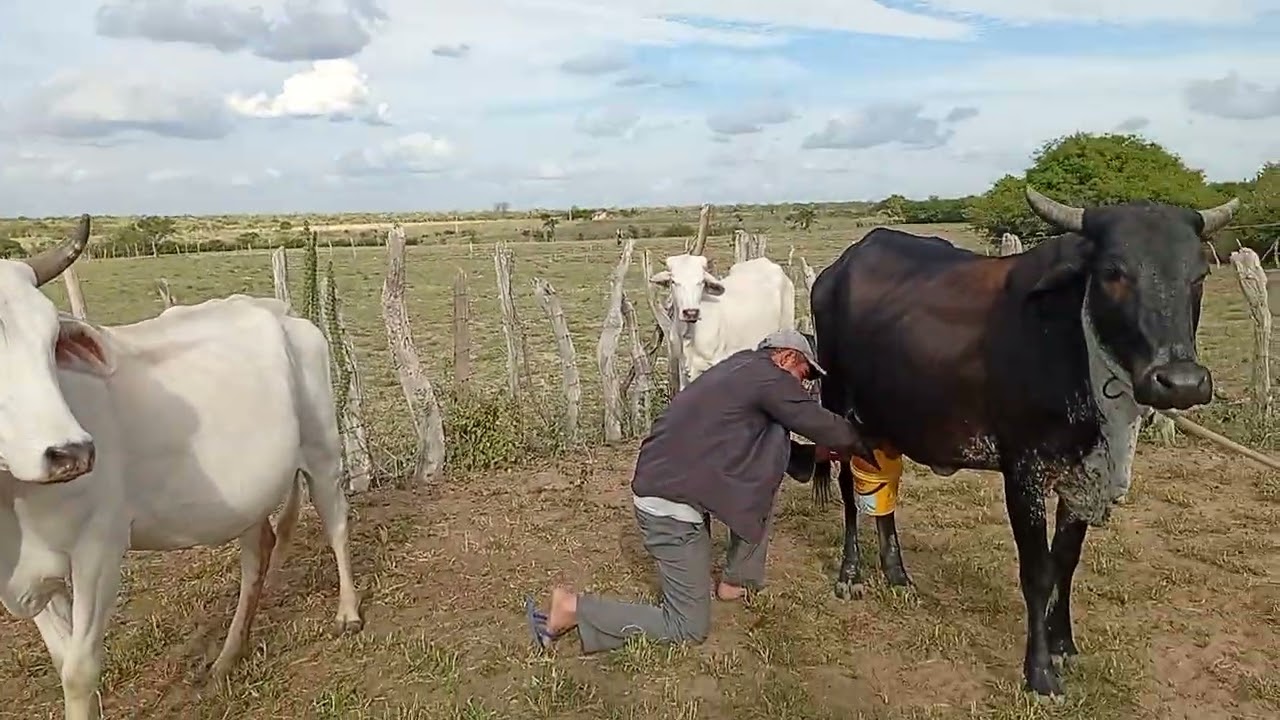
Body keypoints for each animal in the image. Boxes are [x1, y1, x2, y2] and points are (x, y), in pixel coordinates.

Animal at [0, 217, 362, 720]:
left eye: (51, 340)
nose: (70, 452)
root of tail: (282, 311)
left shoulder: (99, 549)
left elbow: (79, 670)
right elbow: (62, 658)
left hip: (323, 449)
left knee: (336, 522)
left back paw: (348, 612)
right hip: (248, 495)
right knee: (258, 552)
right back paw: (228, 656)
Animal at [785, 187, 1240, 697]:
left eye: (1198, 275)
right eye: (1113, 272)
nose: (1181, 383)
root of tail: (837, 268)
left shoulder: (1081, 475)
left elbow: (1066, 563)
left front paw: (1064, 645)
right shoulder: (1023, 473)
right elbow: (1038, 571)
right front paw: (1039, 672)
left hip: (888, 421)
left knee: (885, 491)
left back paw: (897, 574)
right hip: (838, 408)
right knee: (849, 493)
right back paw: (850, 573)